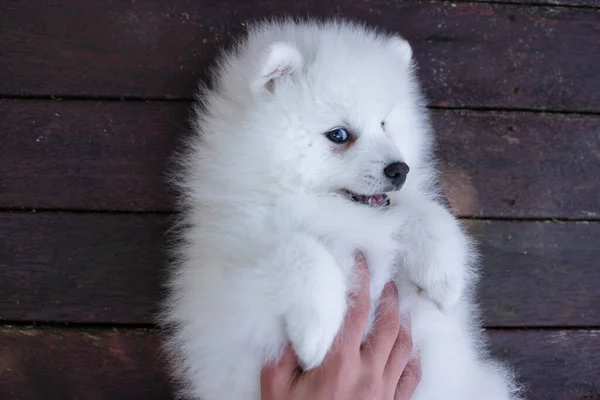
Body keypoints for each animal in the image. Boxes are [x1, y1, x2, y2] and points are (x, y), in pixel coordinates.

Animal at [163, 19, 520, 400]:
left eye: (384, 124)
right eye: (338, 135)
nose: (400, 169)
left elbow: (428, 213)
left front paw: (445, 279)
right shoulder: (231, 276)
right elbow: (297, 246)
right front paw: (316, 334)